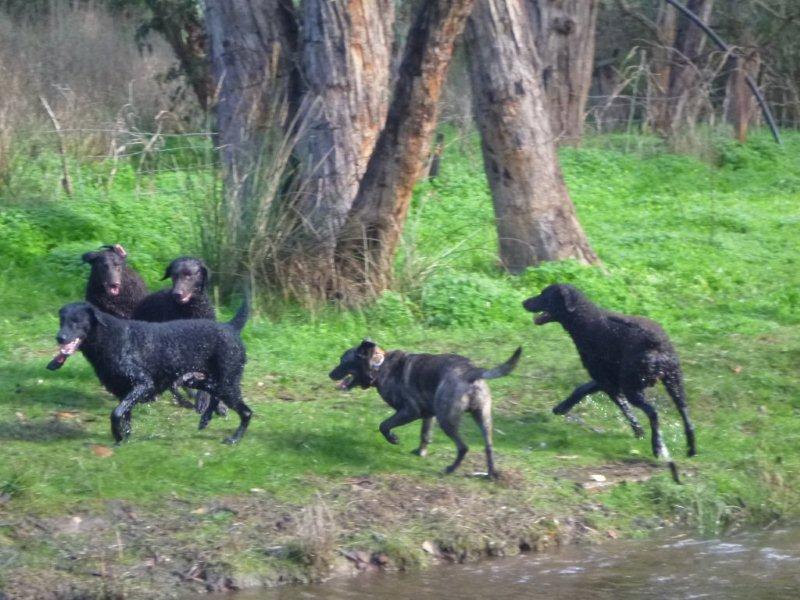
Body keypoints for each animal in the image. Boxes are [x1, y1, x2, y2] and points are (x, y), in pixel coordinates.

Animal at [328, 342, 520, 478]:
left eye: (343, 361)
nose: (330, 374)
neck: (378, 366)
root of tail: (471, 372)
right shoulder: (428, 415)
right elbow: (425, 434)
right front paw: (421, 452)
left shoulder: (410, 411)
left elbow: (384, 425)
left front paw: (393, 439)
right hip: (483, 419)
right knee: (488, 448)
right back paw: (491, 474)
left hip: (446, 420)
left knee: (463, 447)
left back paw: (450, 469)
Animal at [520, 284, 696, 486]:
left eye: (544, 295)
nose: (523, 302)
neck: (585, 321)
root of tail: (655, 344)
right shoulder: (608, 378)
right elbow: (582, 388)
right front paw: (562, 407)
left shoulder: (609, 382)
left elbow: (625, 410)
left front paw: (639, 432)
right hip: (674, 382)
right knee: (686, 416)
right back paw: (691, 449)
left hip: (633, 387)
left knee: (653, 413)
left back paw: (657, 447)